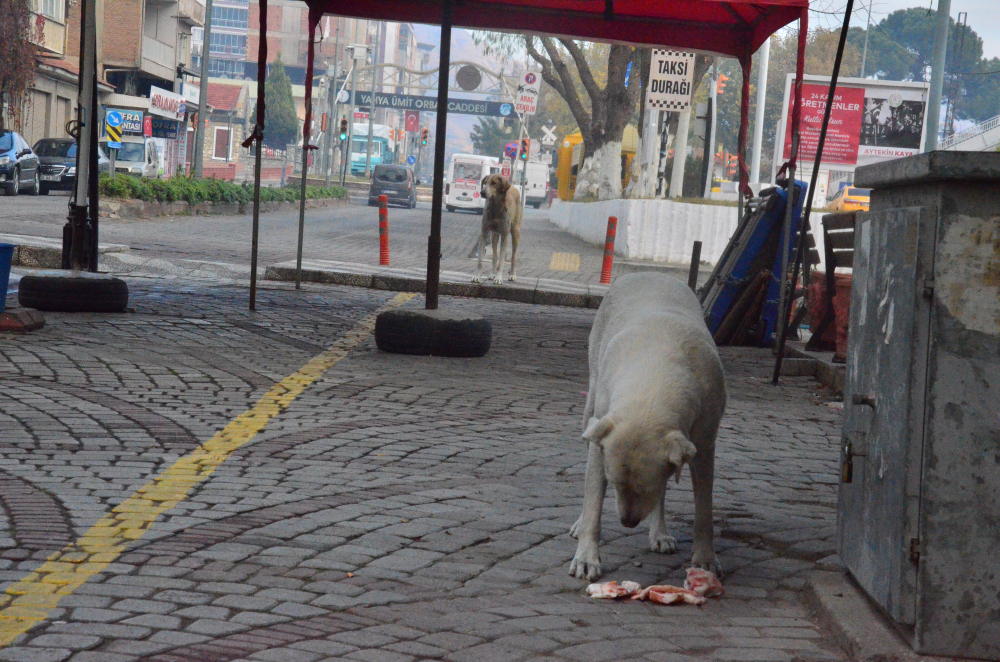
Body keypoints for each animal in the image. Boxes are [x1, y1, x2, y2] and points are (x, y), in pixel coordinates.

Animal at [572, 274, 728, 580]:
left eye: (645, 488)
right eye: (614, 483)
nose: (628, 523)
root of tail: (647, 273)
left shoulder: (704, 446)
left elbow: (703, 508)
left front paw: (705, 557)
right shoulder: (601, 439)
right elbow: (594, 499)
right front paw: (586, 558)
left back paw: (660, 533)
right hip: (591, 401)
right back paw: (579, 522)